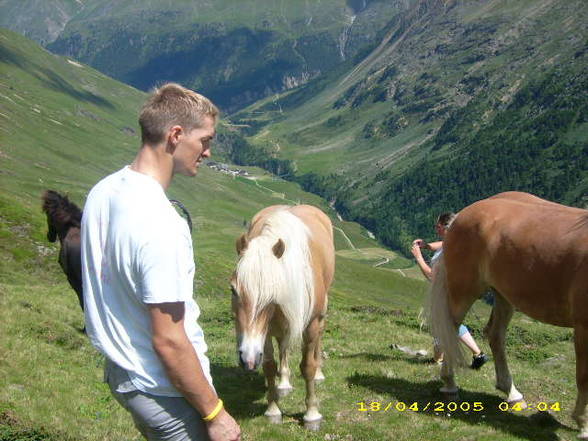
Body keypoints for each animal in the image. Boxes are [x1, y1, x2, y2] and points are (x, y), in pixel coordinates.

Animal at [231, 204, 336, 430]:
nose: (248, 359)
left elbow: (307, 366)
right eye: (233, 290)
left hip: (320, 313)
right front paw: (273, 410)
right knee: (283, 344)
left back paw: (318, 374)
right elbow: (270, 366)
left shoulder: (310, 324)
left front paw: (312, 414)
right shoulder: (266, 329)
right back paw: (284, 383)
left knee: (318, 338)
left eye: (272, 294)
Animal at [428, 191, 588, 438]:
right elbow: (583, 377)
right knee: (452, 329)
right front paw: (583, 424)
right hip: (464, 290)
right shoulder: (583, 327)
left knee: (495, 335)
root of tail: (463, 214)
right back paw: (450, 384)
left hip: (504, 295)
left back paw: (512, 393)